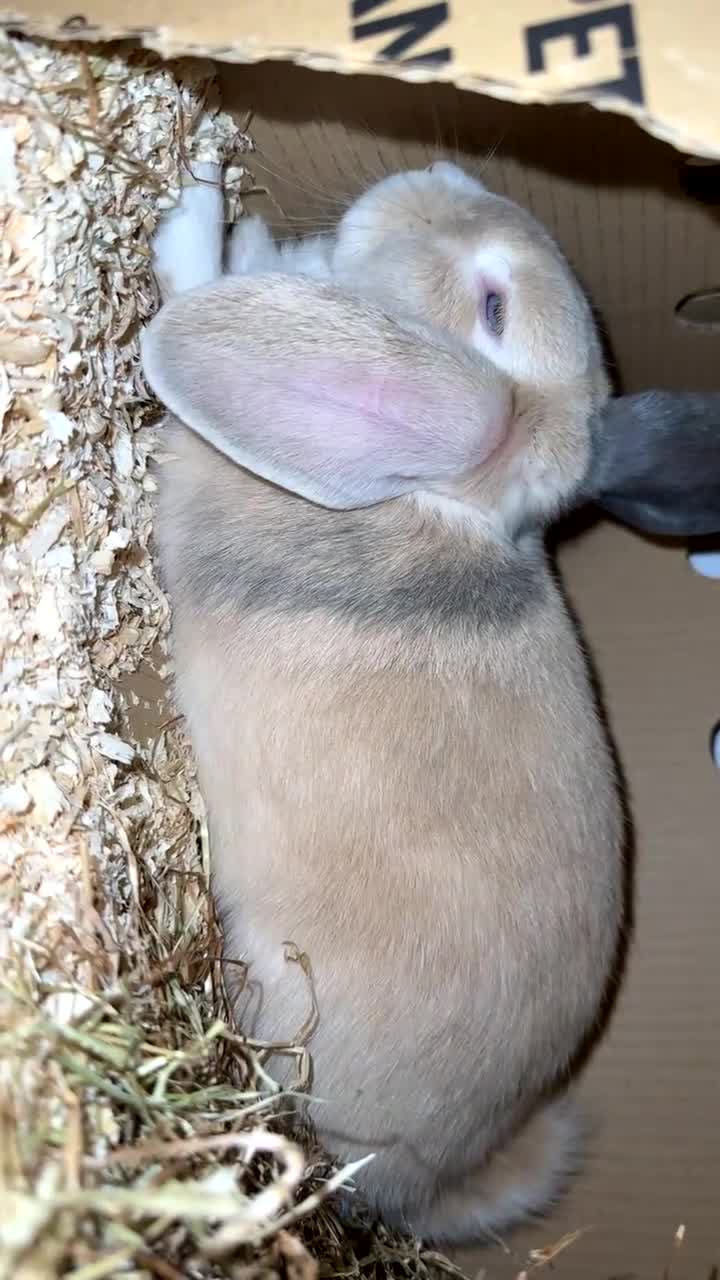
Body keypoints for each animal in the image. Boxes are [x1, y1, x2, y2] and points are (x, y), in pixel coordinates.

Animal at [142, 162, 625, 1246]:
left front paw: (192, 206)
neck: (442, 500)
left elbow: (188, 289)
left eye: (494, 306)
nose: (438, 173)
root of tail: (430, 1187)